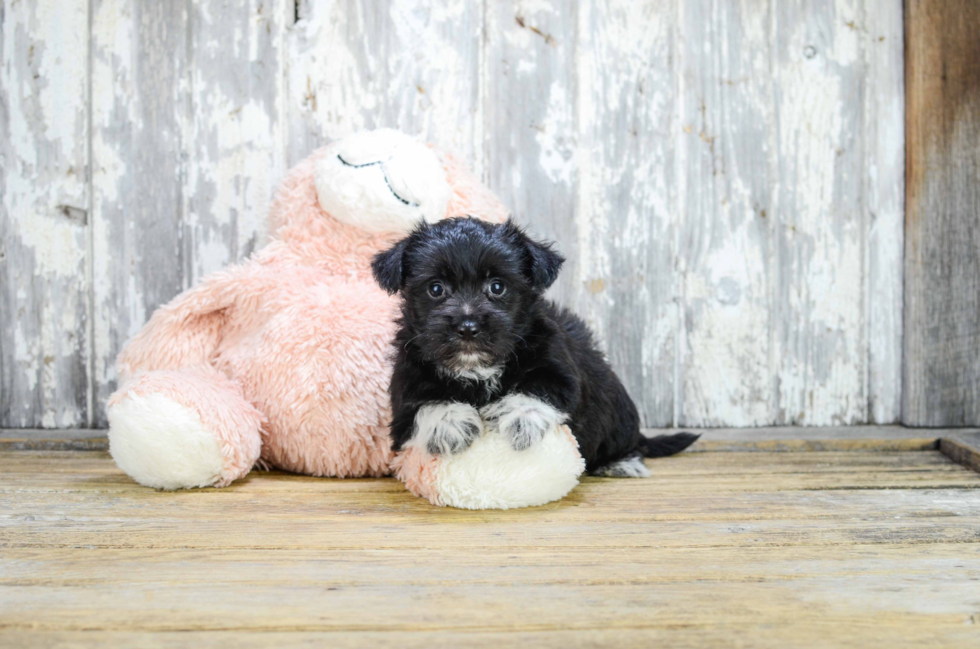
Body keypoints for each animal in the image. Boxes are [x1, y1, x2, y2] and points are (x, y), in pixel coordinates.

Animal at [368, 218, 696, 476]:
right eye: (436, 289)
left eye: (497, 287)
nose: (468, 326)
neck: (476, 368)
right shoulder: (406, 385)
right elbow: (424, 403)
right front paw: (451, 424)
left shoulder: (559, 370)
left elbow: (538, 387)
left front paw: (520, 420)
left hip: (618, 412)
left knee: (626, 441)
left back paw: (621, 462)